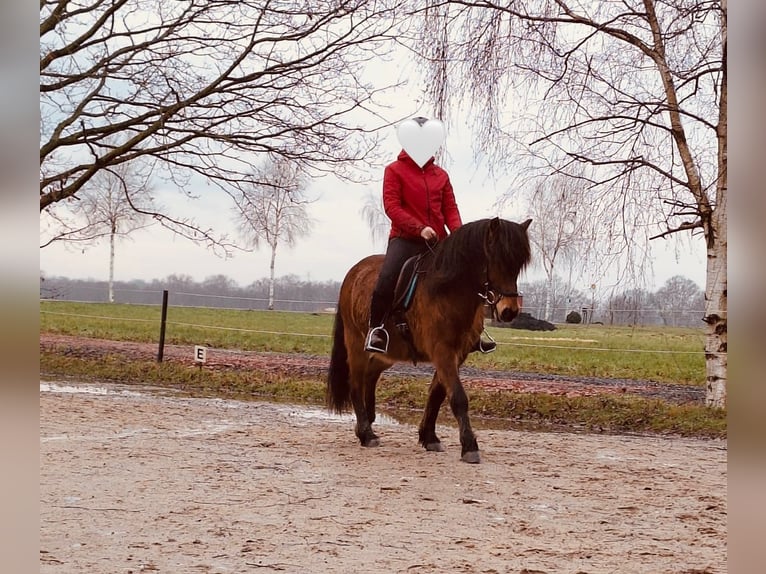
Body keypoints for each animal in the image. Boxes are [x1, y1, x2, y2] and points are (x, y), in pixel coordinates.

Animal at [326, 217, 532, 463]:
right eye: (496, 259)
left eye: (518, 264)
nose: (509, 311)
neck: (449, 289)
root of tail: (353, 273)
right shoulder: (442, 351)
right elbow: (458, 397)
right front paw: (469, 447)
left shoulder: (456, 354)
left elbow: (437, 394)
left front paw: (429, 437)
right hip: (356, 344)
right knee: (356, 383)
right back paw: (367, 434)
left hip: (388, 354)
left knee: (370, 375)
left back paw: (366, 424)